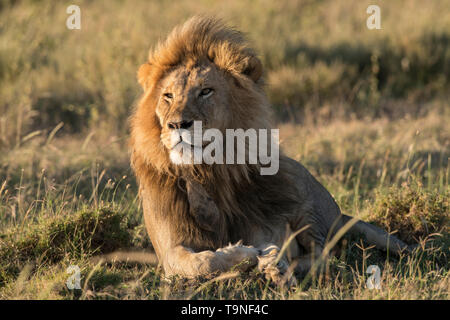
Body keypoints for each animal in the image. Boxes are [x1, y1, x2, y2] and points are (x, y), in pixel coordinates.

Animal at [128, 16, 414, 284]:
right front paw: (245, 254)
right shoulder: (169, 251)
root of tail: (340, 213)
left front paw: (266, 259)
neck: (207, 169)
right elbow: (203, 262)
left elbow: (265, 245)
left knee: (322, 255)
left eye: (206, 91)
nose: (177, 124)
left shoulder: (262, 225)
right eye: (168, 96)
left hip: (297, 188)